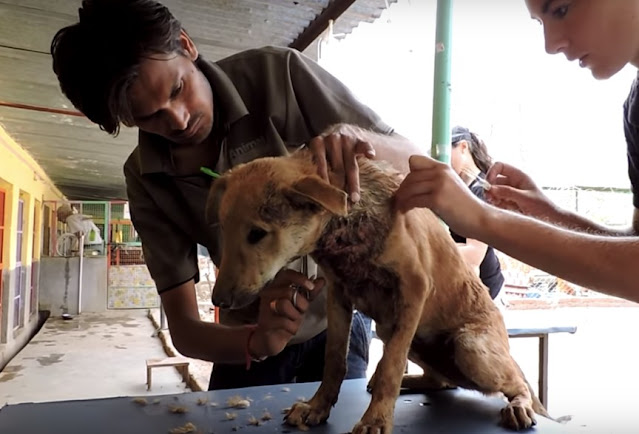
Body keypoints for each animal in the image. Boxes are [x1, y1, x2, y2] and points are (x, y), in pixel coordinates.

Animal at [206, 146, 548, 433]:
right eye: (222, 227)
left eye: (257, 233)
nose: (217, 300)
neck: (346, 229)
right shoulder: (338, 294)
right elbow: (335, 360)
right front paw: (317, 407)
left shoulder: (414, 286)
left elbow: (390, 368)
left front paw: (376, 420)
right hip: (402, 335)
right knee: (441, 382)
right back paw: (414, 380)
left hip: (469, 347)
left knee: (516, 382)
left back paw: (519, 406)